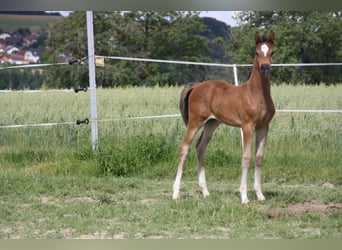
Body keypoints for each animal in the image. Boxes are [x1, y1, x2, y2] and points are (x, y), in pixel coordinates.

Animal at [172, 31, 276, 204]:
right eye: (256, 52)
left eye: (272, 52)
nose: (264, 67)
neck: (257, 94)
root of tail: (197, 85)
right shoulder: (247, 125)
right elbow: (246, 157)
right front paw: (244, 197)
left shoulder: (263, 126)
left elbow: (259, 157)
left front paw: (260, 195)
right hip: (195, 122)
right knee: (184, 148)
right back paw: (175, 194)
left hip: (211, 123)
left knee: (200, 147)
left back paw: (206, 192)